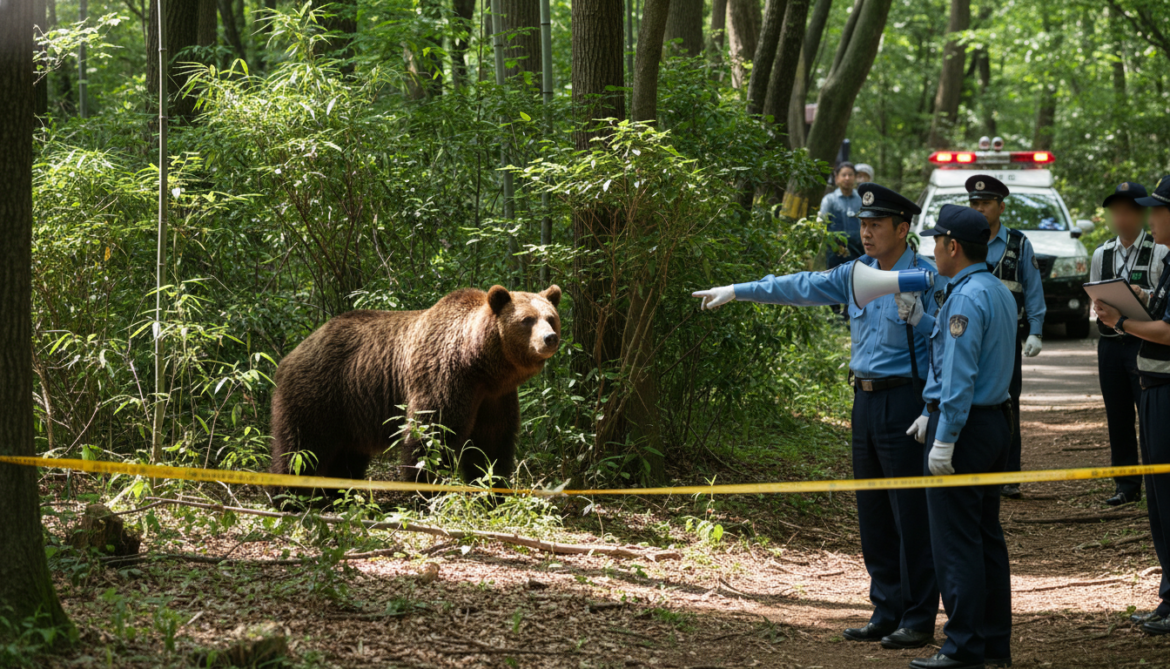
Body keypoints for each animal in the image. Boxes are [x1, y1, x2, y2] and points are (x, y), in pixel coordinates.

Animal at [268, 284, 562, 496]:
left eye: (551, 317)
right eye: (527, 320)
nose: (550, 338)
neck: (480, 364)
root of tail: (293, 353)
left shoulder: (495, 398)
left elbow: (490, 444)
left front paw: (492, 491)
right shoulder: (444, 378)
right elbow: (431, 435)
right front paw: (428, 491)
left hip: (350, 411)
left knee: (346, 456)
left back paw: (337, 494)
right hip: (318, 394)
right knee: (301, 448)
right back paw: (289, 496)